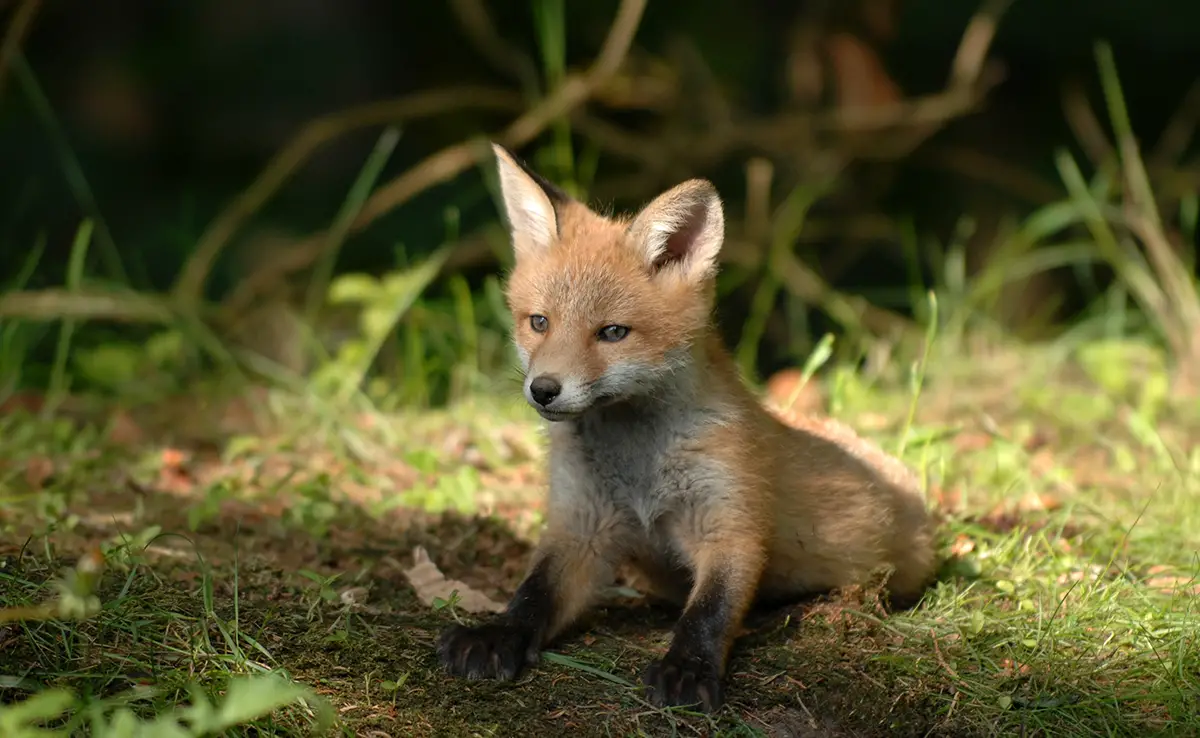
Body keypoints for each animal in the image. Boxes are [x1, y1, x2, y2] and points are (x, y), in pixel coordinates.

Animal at [436, 141, 940, 715]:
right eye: (538, 322)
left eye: (612, 333)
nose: (543, 389)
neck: (638, 466)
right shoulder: (580, 527)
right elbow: (532, 594)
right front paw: (497, 634)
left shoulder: (730, 522)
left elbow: (710, 610)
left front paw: (688, 668)